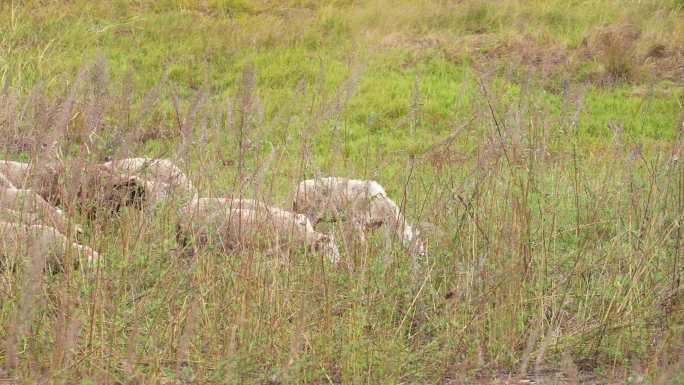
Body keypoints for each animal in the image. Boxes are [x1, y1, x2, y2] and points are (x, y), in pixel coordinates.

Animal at [292, 176, 424, 255]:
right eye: (414, 242)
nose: (422, 255)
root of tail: (297, 189)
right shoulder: (357, 222)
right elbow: (363, 243)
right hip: (310, 215)